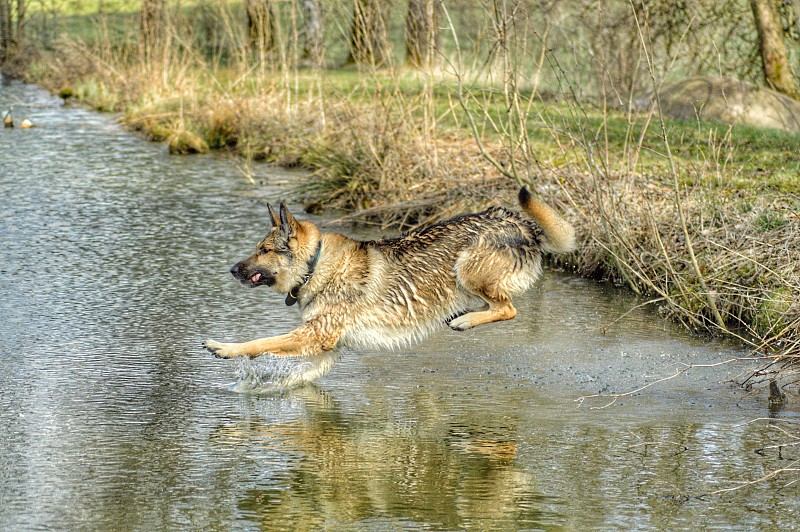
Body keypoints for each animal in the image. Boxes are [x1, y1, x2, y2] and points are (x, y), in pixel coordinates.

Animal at [202, 185, 576, 364]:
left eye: (264, 250)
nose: (232, 269)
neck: (316, 265)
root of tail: (522, 224)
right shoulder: (323, 341)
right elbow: (268, 345)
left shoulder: (315, 334)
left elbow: (260, 341)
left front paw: (225, 348)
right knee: (498, 307)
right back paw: (462, 315)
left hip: (467, 270)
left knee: (507, 308)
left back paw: (464, 320)